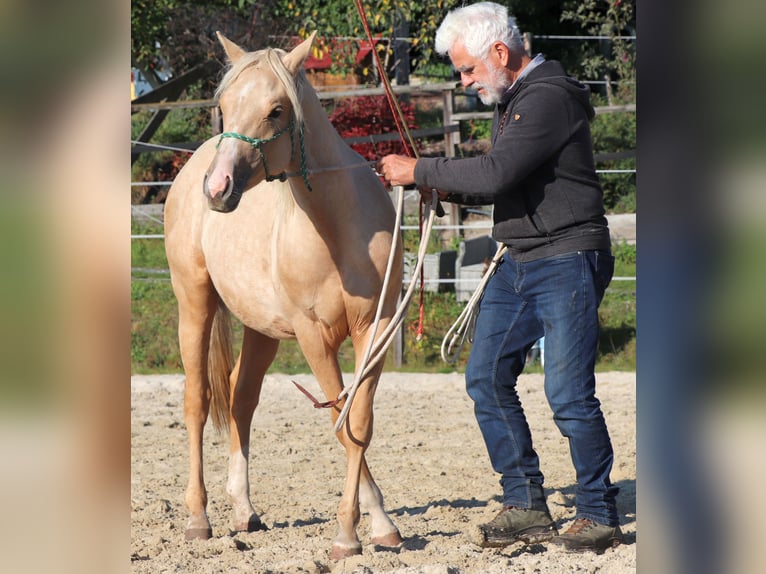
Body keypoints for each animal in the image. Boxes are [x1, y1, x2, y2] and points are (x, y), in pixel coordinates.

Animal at [163, 32, 404, 560]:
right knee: (197, 401)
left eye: (276, 110)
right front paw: (348, 534)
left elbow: (359, 422)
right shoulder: (314, 337)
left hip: (261, 329)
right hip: (195, 304)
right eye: (223, 106)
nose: (218, 189)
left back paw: (244, 510)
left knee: (240, 399)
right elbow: (340, 420)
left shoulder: (373, 331)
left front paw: (380, 525)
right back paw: (198, 517)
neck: (339, 231)